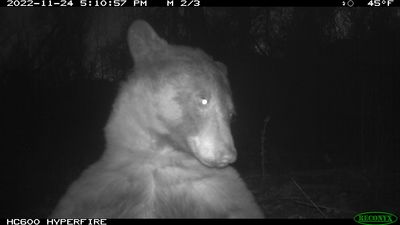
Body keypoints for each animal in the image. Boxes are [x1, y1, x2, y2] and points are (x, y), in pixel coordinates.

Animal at [50, 20, 262, 218]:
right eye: (203, 99)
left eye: (231, 114)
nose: (228, 155)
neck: (160, 154)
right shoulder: (99, 189)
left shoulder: (218, 190)